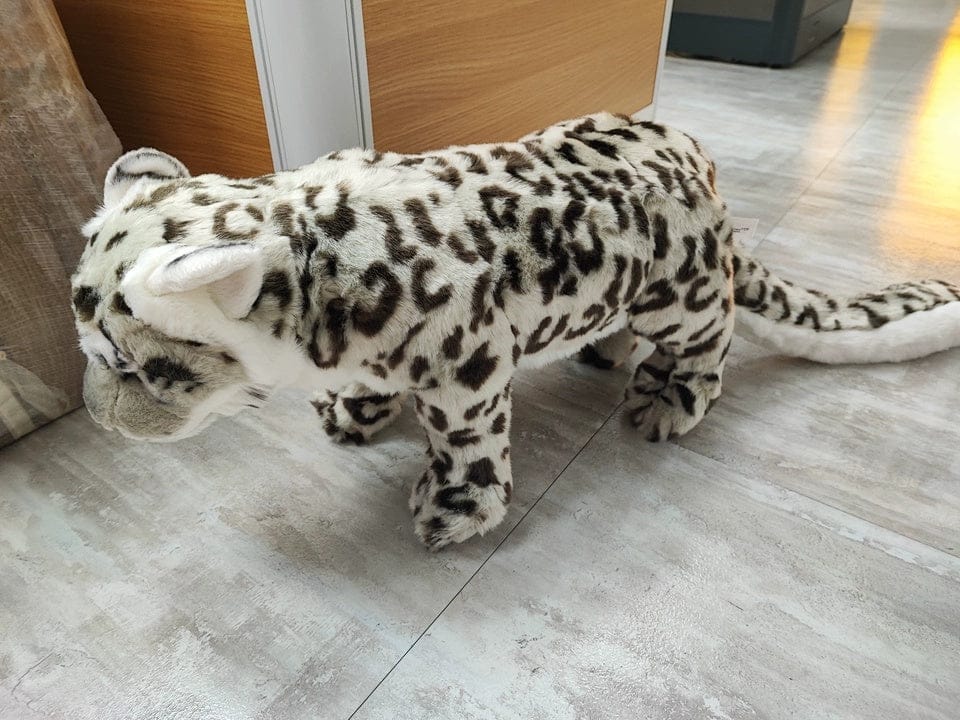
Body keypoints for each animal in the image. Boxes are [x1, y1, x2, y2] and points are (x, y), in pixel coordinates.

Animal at [70, 112, 960, 549]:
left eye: (128, 363)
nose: (94, 417)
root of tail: (705, 171)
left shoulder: (465, 368)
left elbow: (466, 443)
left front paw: (453, 511)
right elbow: (362, 384)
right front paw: (352, 413)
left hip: (684, 296)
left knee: (709, 344)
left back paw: (662, 399)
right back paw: (602, 347)